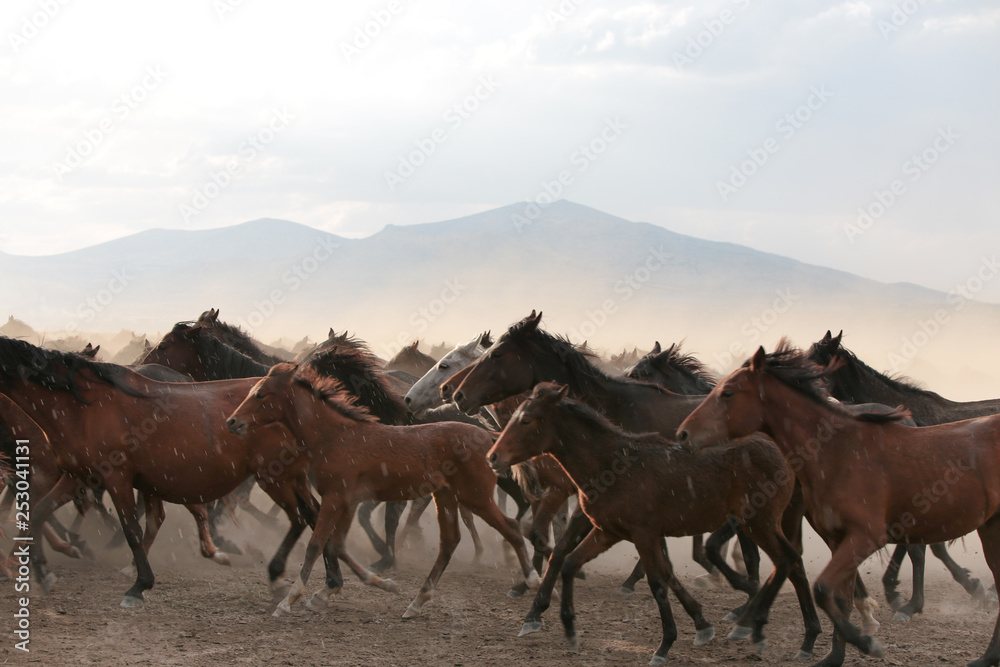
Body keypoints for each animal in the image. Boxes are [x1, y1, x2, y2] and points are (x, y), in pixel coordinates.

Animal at [225, 358, 540, 618]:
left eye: (260, 394)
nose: (232, 421)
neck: (335, 436)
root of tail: (488, 436)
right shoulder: (348, 501)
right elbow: (336, 544)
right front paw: (353, 587)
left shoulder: (335, 498)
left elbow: (316, 544)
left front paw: (288, 601)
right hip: (446, 496)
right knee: (450, 541)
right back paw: (416, 602)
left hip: (475, 496)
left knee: (511, 528)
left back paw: (531, 580)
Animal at [487, 382, 821, 664]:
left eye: (526, 420)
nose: (493, 456)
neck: (612, 463)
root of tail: (781, 450)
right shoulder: (608, 531)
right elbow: (570, 562)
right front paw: (569, 629)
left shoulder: (643, 534)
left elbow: (657, 581)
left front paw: (665, 645)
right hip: (764, 524)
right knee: (794, 564)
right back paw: (807, 638)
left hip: (759, 523)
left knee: (787, 560)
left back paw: (752, 625)